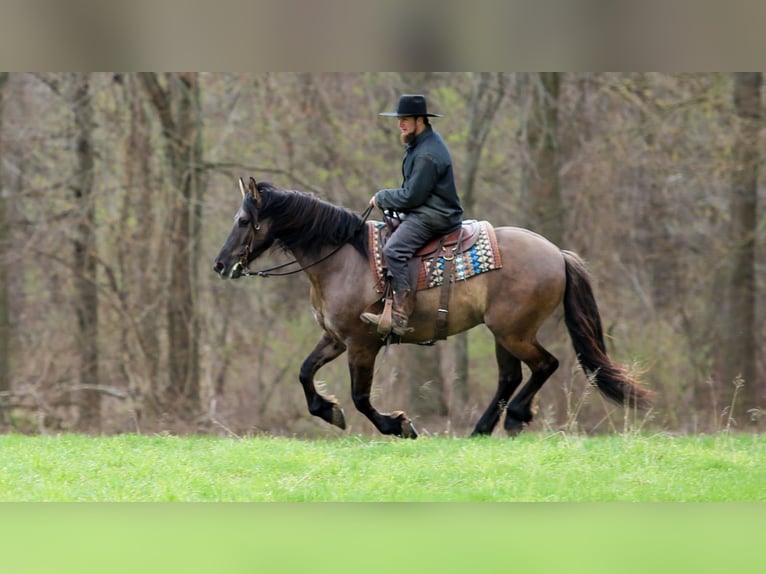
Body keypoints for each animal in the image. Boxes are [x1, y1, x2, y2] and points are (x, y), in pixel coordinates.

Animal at [213, 177, 653, 438]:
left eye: (243, 220)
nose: (220, 265)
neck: (341, 258)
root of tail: (557, 254)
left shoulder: (362, 344)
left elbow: (361, 397)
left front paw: (398, 425)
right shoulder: (335, 338)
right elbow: (306, 373)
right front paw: (328, 410)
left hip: (514, 331)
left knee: (545, 365)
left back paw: (513, 417)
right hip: (503, 334)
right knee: (510, 377)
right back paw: (482, 428)